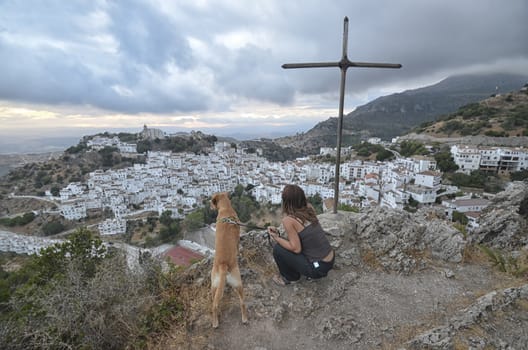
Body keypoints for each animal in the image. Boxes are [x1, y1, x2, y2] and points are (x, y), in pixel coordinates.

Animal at [208, 191, 248, 328]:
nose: (209, 206)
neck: (225, 209)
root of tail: (223, 265)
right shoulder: (237, 239)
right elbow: (238, 246)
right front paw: (240, 253)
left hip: (214, 285)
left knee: (214, 303)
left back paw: (215, 320)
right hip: (238, 283)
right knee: (242, 302)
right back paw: (244, 318)